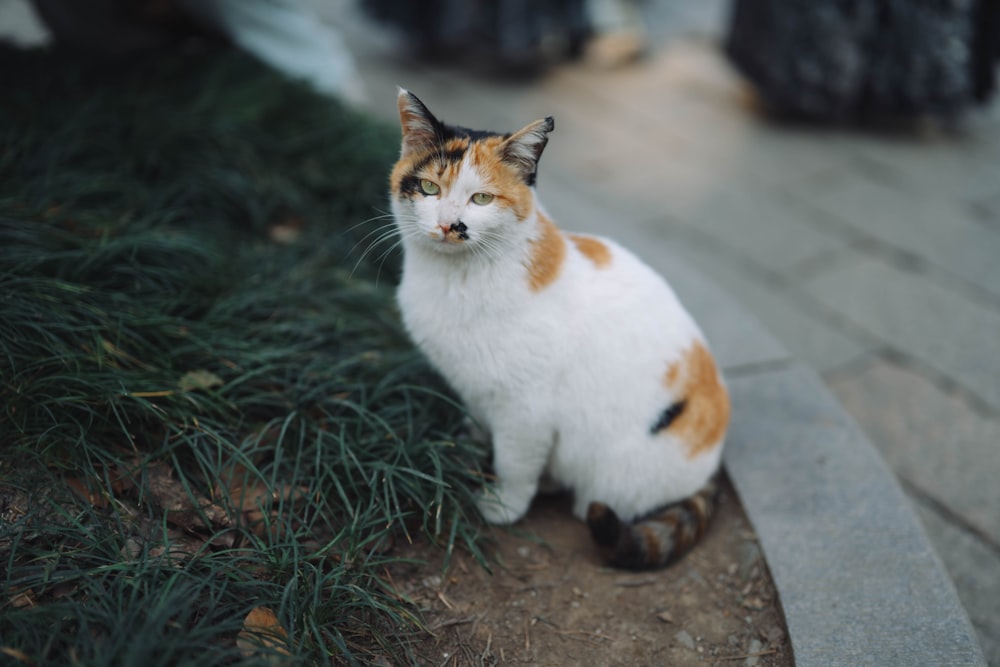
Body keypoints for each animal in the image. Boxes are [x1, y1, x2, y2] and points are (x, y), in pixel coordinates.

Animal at [388, 87, 728, 568]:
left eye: (481, 200)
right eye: (429, 188)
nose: (449, 225)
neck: (457, 279)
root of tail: (713, 462)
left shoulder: (527, 409)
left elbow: (514, 462)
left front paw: (503, 504)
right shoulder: (472, 385)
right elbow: (476, 423)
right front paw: (469, 446)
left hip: (614, 475)